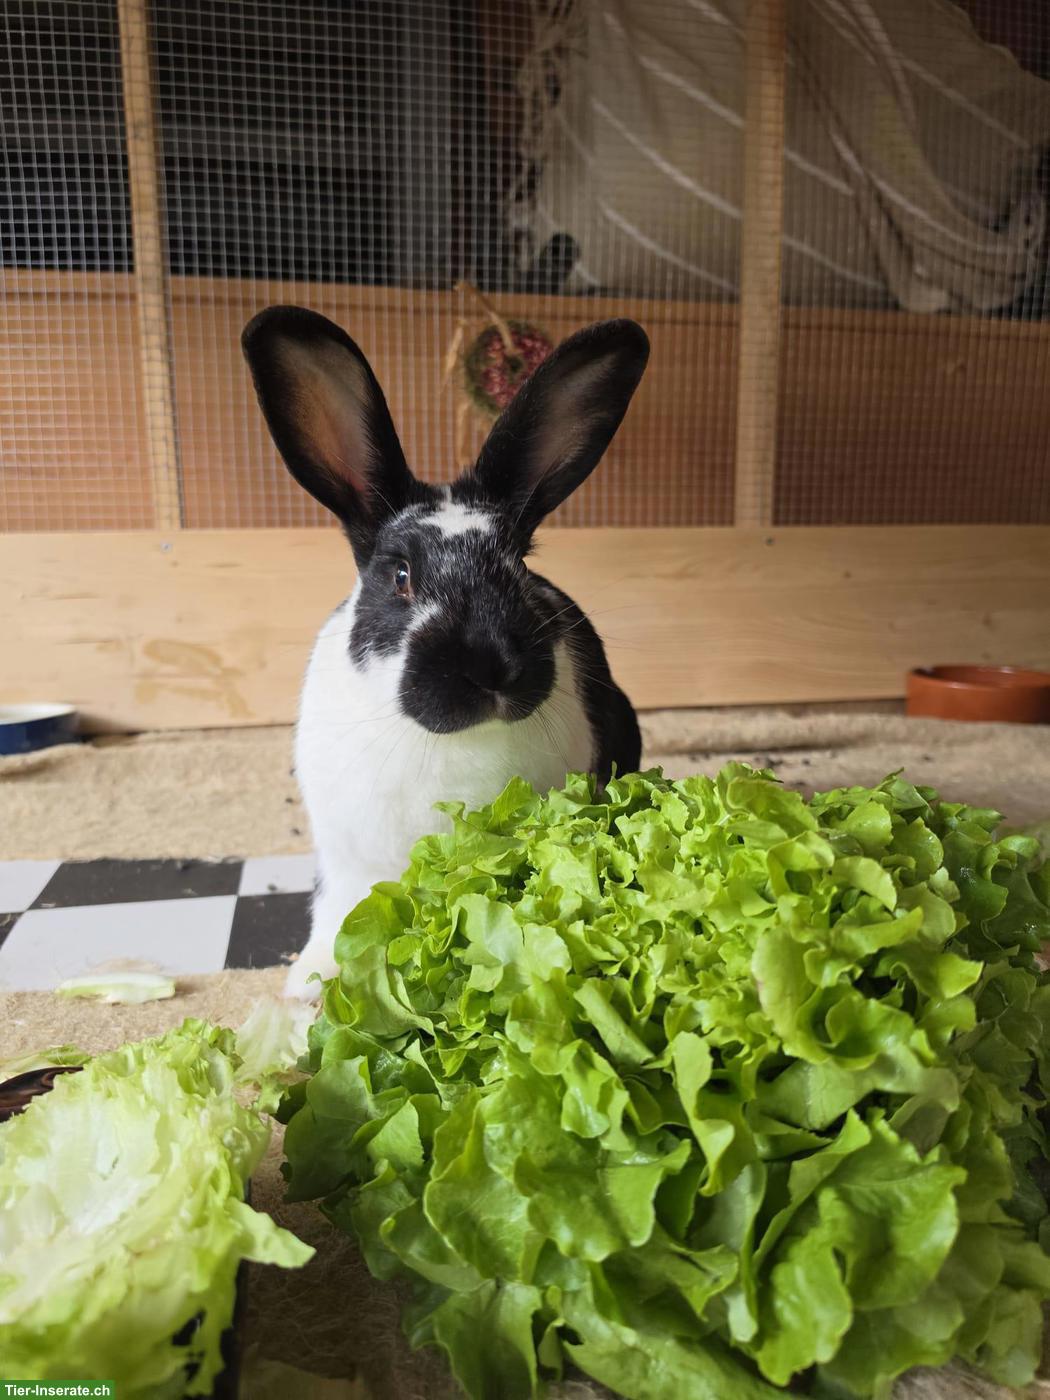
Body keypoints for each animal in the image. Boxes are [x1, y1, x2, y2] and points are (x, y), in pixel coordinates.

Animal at [241, 306, 649, 998]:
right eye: (400, 576)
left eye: (517, 570)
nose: (491, 667)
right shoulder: (346, 862)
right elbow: (334, 919)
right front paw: (306, 988)